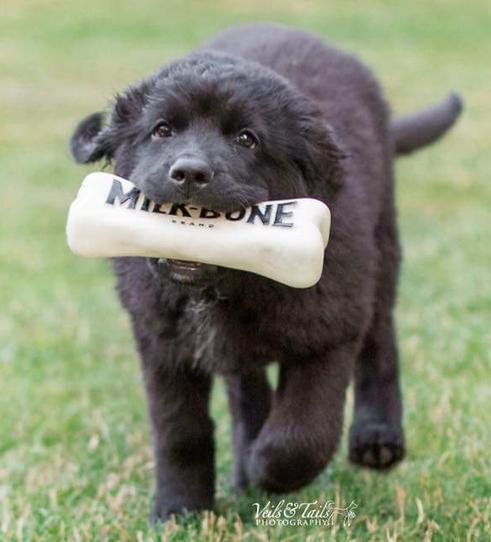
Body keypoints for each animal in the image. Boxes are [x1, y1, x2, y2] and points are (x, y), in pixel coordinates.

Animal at [69, 23, 462, 520]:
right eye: (161, 130)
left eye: (246, 139)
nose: (189, 173)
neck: (225, 287)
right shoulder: (161, 341)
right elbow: (179, 430)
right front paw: (179, 511)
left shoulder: (331, 326)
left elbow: (304, 432)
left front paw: (269, 472)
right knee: (246, 389)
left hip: (382, 248)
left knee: (379, 341)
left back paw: (377, 439)